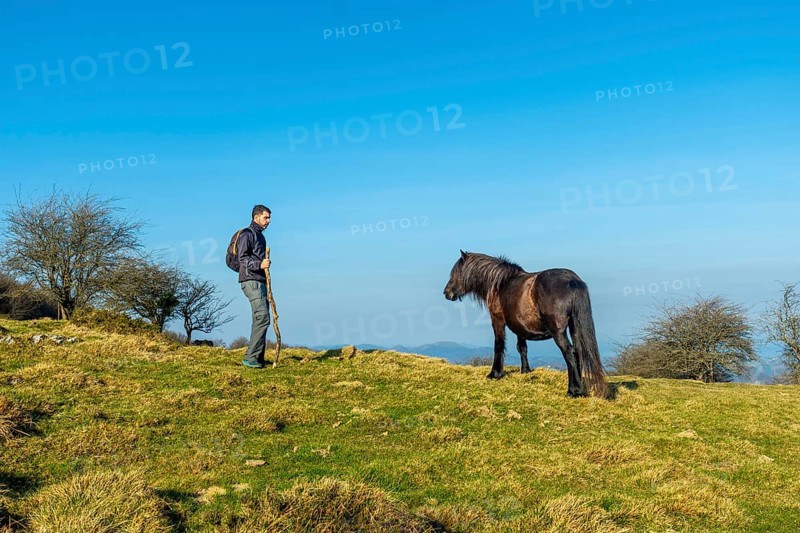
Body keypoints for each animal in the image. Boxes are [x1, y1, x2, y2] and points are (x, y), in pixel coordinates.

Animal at [443, 251, 608, 398]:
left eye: (456, 273)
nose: (446, 292)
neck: (500, 284)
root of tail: (572, 280)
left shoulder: (497, 320)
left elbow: (498, 345)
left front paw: (495, 373)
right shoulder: (519, 326)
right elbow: (522, 347)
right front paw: (525, 371)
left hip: (558, 331)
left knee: (570, 352)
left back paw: (573, 390)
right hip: (574, 327)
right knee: (579, 351)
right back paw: (580, 388)